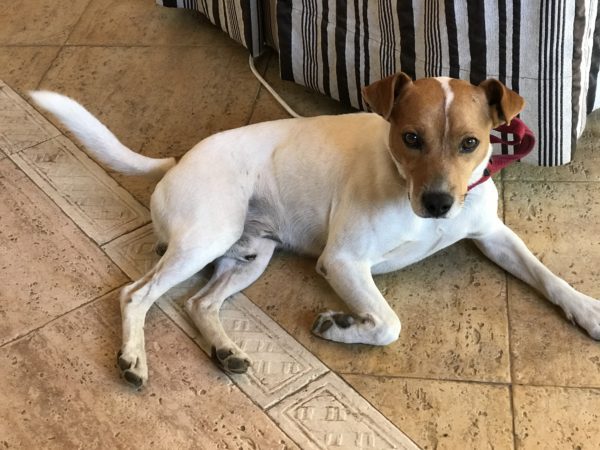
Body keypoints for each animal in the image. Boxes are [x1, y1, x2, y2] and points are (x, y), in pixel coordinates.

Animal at [31, 73, 600, 388]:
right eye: (411, 137)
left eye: (471, 143)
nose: (438, 204)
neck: (403, 184)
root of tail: (178, 160)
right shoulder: (344, 261)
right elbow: (388, 323)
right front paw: (342, 325)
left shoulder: (494, 236)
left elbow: (546, 275)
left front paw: (587, 309)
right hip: (206, 239)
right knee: (137, 294)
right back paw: (133, 358)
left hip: (250, 256)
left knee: (199, 303)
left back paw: (225, 349)